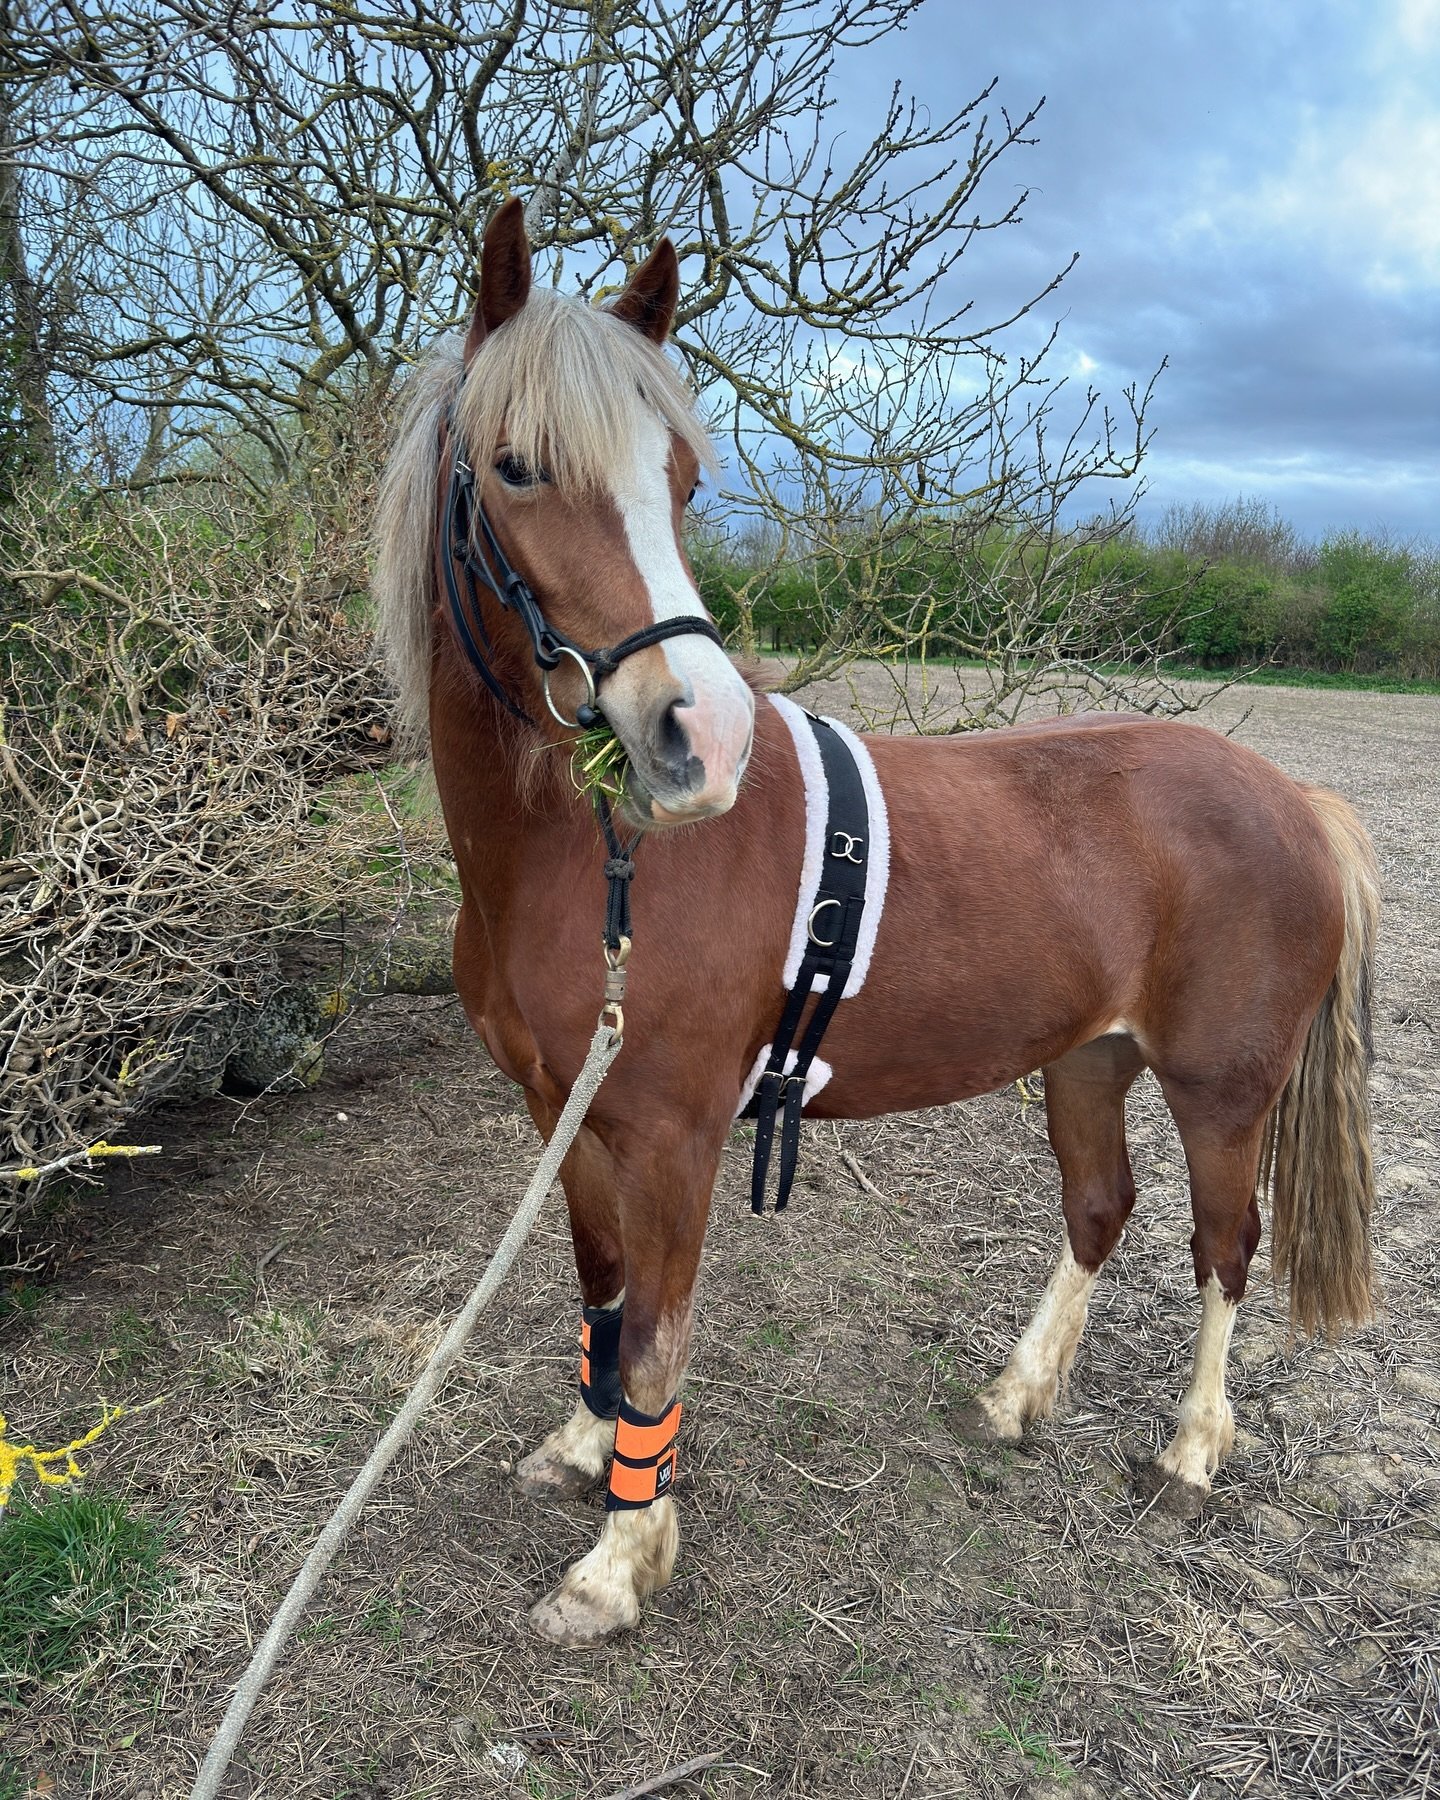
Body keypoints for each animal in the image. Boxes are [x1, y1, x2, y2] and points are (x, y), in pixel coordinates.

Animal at [374, 200, 1382, 1648]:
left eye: (684, 475)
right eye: (515, 468)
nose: (696, 737)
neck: (592, 862)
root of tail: (1292, 797)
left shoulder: (673, 1136)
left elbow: (659, 1340)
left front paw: (620, 1559)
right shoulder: (564, 1115)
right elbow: (601, 1289)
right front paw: (579, 1449)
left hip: (1221, 1090)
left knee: (1221, 1247)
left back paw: (1193, 1452)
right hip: (1087, 1062)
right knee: (1099, 1209)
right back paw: (1017, 1397)